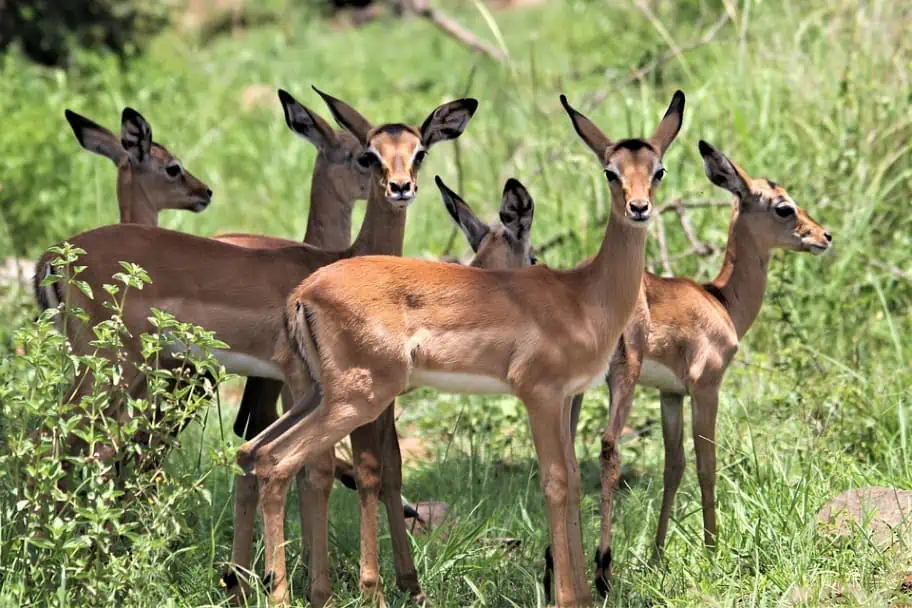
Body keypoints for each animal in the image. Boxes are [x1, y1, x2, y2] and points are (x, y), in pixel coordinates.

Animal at [236, 90, 686, 607]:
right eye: (610, 170)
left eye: (658, 169)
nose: (639, 207)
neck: (583, 295)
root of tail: (304, 293)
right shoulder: (540, 394)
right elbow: (556, 483)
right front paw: (569, 597)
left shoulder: (566, 398)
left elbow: (574, 479)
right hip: (356, 399)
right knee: (279, 462)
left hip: (315, 394)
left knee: (255, 452)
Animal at [581, 140, 833, 595]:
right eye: (784, 207)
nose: (824, 236)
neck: (721, 301)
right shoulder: (706, 387)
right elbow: (706, 465)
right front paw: (713, 551)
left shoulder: (670, 394)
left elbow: (673, 468)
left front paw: (658, 555)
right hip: (623, 377)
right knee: (609, 449)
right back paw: (602, 574)